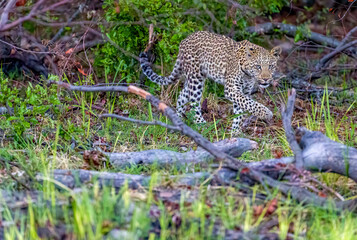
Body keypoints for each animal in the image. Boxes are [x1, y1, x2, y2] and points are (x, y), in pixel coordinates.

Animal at [139, 30, 280, 134]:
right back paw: (200, 123)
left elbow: (242, 108)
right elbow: (250, 103)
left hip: (193, 78)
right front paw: (266, 113)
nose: (266, 79)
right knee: (194, 101)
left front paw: (235, 130)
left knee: (182, 95)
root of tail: (184, 41)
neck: (248, 74)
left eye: (271, 66)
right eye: (258, 67)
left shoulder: (244, 91)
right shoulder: (231, 89)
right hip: (196, 78)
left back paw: (178, 119)